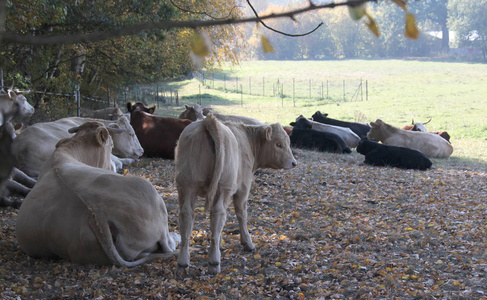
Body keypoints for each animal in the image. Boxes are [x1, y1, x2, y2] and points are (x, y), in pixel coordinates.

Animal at [17, 120, 182, 266]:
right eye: (111, 145)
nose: (112, 167)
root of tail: (96, 214)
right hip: (150, 194)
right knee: (167, 243)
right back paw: (177, 236)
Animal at [175, 114, 298, 274]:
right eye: (278, 144)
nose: (293, 162)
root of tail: (208, 121)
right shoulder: (243, 187)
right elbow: (241, 214)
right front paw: (247, 243)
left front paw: (220, 243)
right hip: (222, 186)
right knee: (218, 214)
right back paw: (214, 261)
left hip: (187, 185)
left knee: (187, 216)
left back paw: (183, 262)